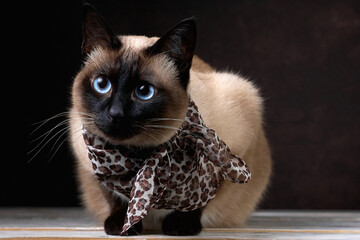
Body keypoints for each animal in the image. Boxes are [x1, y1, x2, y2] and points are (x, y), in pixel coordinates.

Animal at [69, 3, 272, 236]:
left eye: (144, 91)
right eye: (102, 85)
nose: (115, 113)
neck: (140, 155)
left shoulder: (232, 153)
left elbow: (201, 198)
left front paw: (180, 226)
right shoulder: (89, 161)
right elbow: (113, 197)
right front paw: (123, 225)